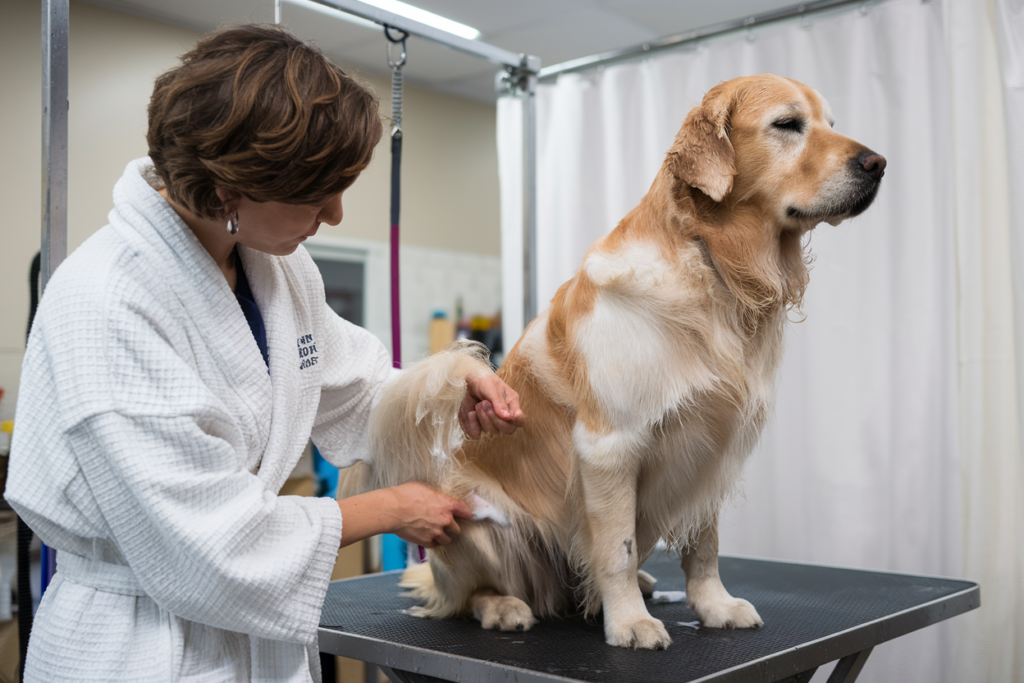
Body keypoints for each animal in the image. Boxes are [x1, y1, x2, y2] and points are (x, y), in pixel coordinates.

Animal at [350, 74, 880, 651]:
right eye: (787, 124)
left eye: (830, 123)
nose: (878, 163)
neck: (714, 265)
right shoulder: (610, 446)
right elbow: (617, 548)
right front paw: (628, 622)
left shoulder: (711, 447)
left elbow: (704, 545)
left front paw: (714, 606)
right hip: (473, 520)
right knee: (468, 597)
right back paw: (507, 607)